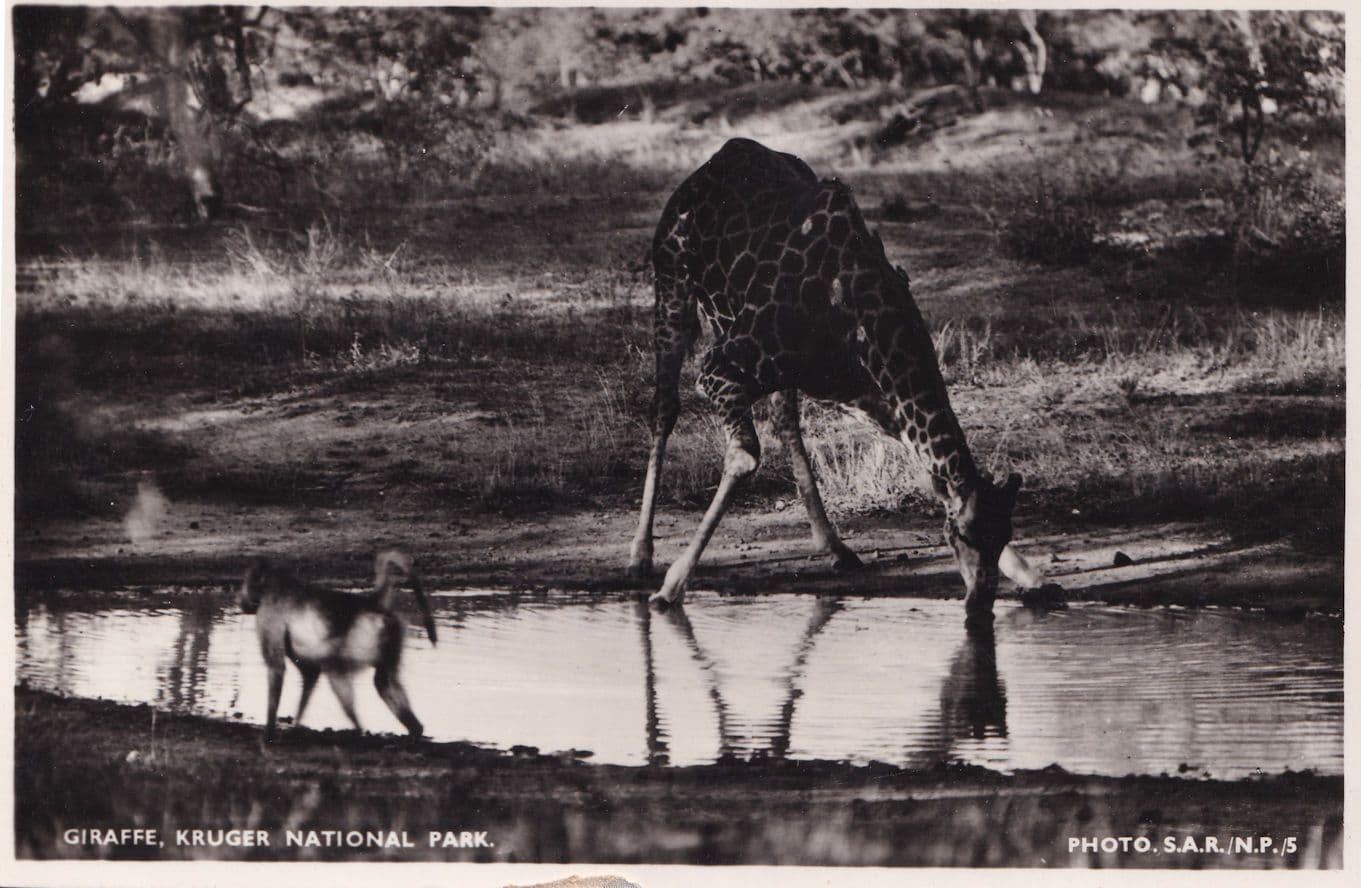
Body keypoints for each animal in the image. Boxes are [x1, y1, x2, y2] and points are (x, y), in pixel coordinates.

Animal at [628, 138, 1048, 621]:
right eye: (957, 534)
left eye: (1003, 535)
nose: (979, 606)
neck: (860, 309)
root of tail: (712, 160)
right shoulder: (718, 368)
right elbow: (744, 457)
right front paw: (672, 585)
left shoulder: (856, 388)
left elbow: (924, 462)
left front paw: (1030, 575)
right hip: (672, 288)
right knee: (664, 408)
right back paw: (640, 555)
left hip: (770, 359)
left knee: (785, 421)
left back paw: (834, 546)